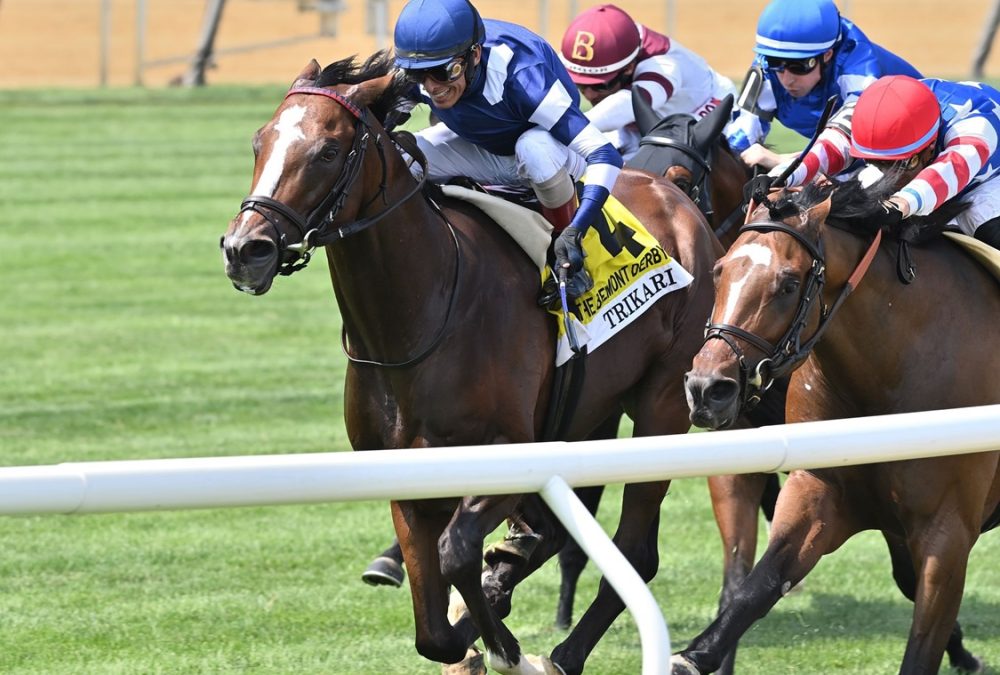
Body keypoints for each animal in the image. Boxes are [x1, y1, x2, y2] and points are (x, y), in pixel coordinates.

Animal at [221, 51, 720, 675]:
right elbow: (432, 625)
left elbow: (456, 553)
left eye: (328, 152)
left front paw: (504, 645)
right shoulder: (408, 473)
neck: (418, 318)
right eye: (259, 142)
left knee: (634, 551)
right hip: (589, 409)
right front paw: (478, 624)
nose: (245, 250)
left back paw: (562, 651)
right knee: (558, 534)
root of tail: (673, 189)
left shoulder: (511, 450)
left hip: (662, 406)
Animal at [676, 181, 996, 675]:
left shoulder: (947, 531)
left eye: (789, 284)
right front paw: (691, 656)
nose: (708, 389)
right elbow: (755, 589)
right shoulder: (817, 491)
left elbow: (922, 643)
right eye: (719, 270)